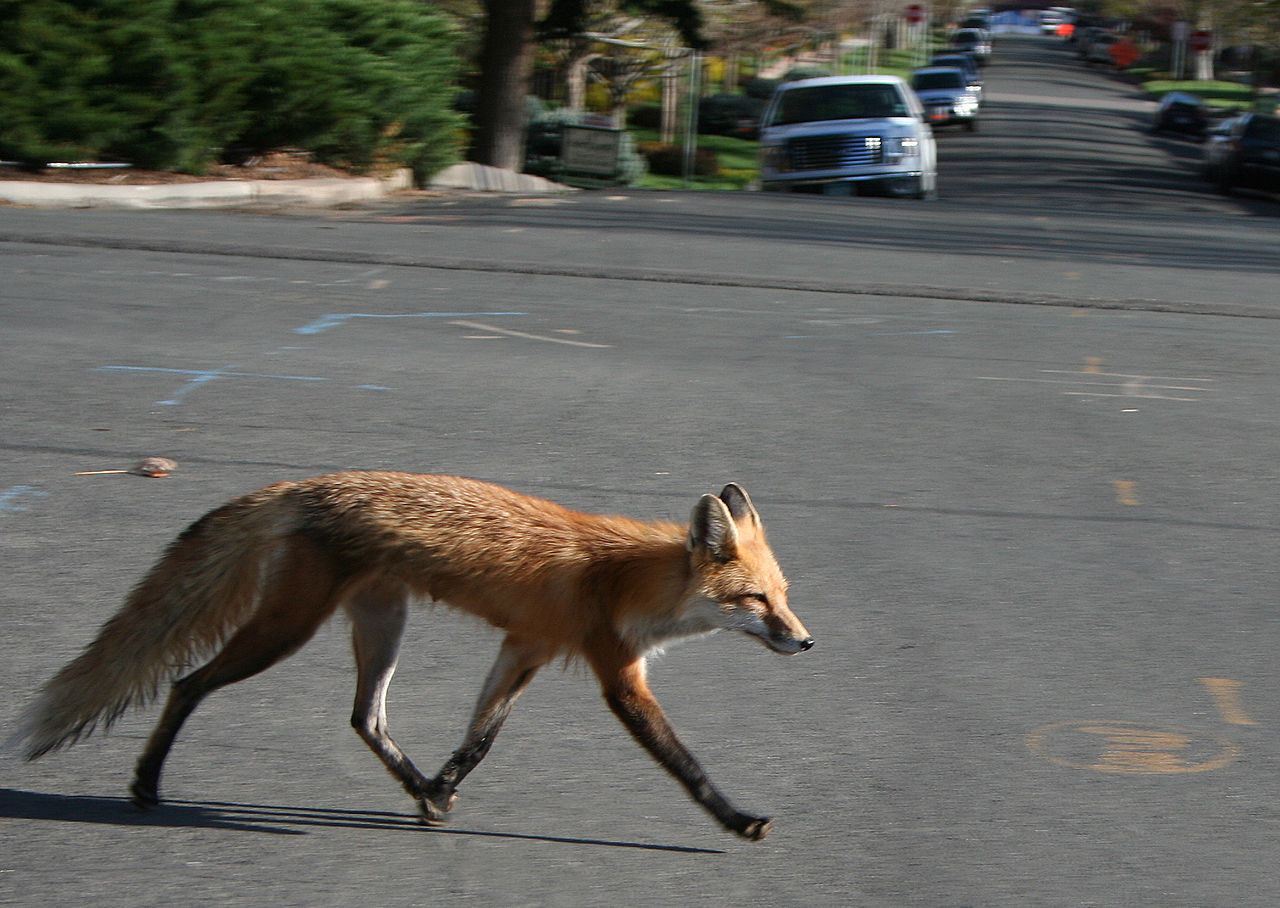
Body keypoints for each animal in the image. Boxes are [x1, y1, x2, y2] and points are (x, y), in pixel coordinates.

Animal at [12, 471, 808, 840]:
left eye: (783, 595)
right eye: (755, 600)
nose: (806, 641)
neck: (625, 578)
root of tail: (301, 485)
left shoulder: (527, 646)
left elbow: (479, 741)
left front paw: (441, 791)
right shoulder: (616, 674)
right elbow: (687, 765)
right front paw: (737, 820)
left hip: (381, 627)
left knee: (364, 719)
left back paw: (417, 784)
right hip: (285, 630)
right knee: (184, 683)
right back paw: (146, 783)